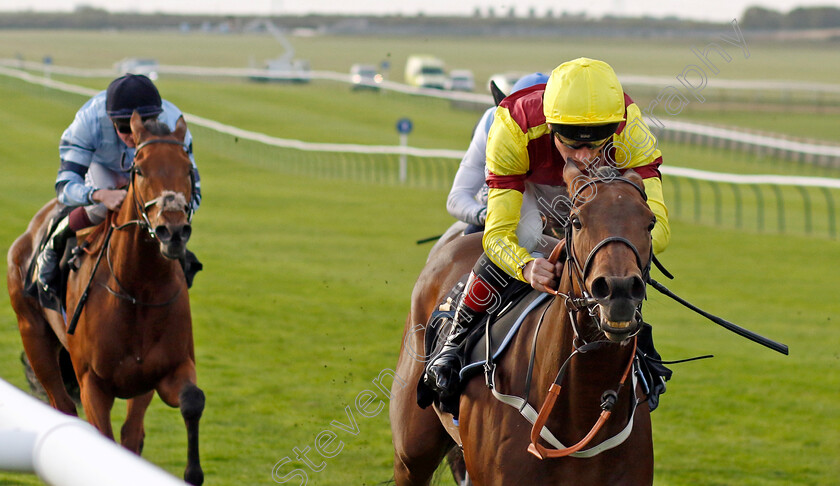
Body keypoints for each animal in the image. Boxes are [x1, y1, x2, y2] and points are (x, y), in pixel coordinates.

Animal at [6, 113, 205, 482]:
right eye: (139, 170)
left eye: (188, 169)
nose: (172, 231)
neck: (138, 291)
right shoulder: (93, 385)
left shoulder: (167, 370)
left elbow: (191, 401)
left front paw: (193, 472)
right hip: (34, 336)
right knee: (64, 409)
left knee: (131, 434)